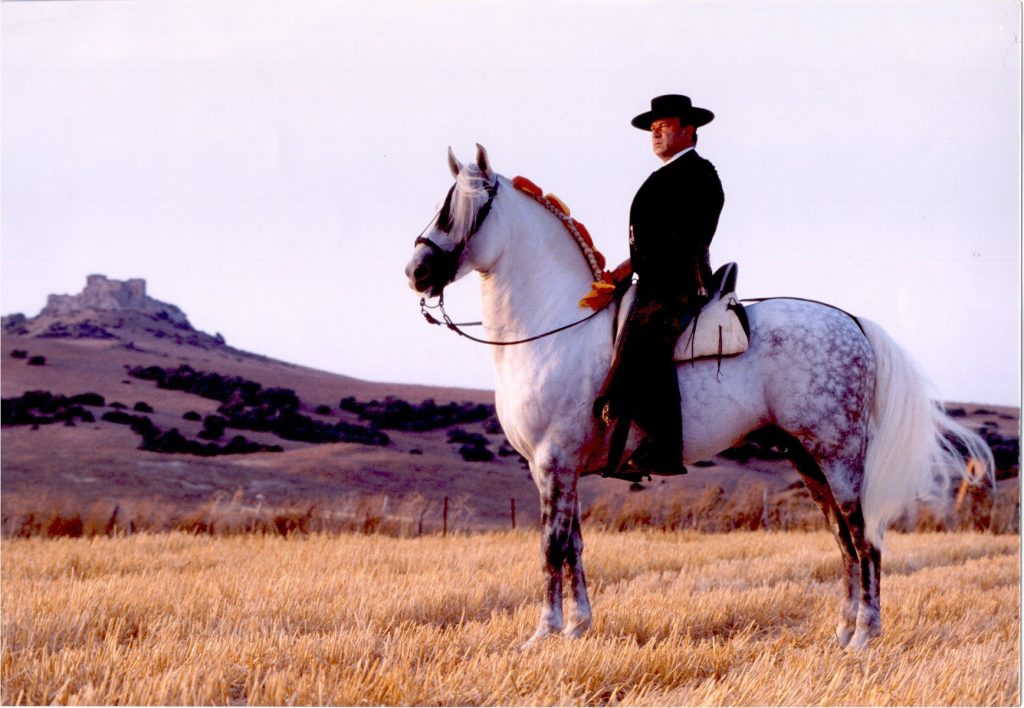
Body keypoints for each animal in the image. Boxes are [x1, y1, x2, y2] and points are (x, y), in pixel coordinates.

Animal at [404, 144, 993, 650]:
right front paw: (577, 628)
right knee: (842, 539)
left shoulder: (554, 460)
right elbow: (573, 544)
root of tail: (853, 323)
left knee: (862, 535)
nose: (417, 272)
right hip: (807, 460)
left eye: (459, 211)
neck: (554, 326)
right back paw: (844, 633)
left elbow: (551, 546)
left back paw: (866, 635)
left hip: (839, 456)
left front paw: (543, 633)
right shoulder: (557, 468)